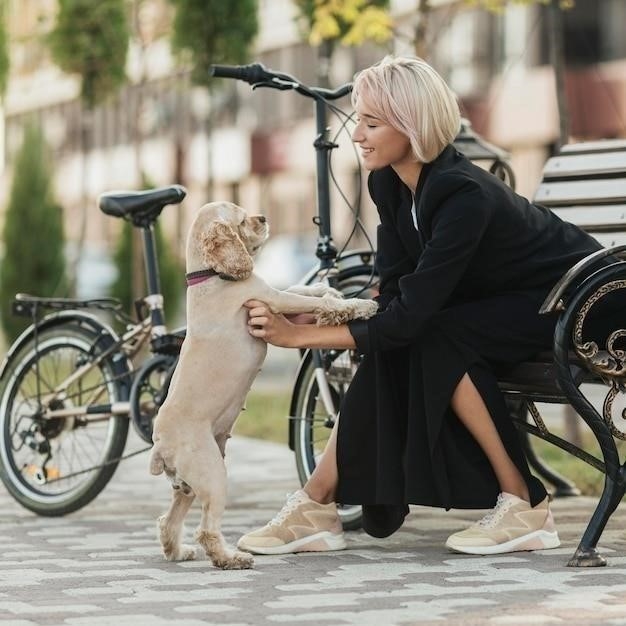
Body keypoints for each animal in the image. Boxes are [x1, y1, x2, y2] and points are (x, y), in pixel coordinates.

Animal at [149, 200, 378, 564]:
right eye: (243, 220)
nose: (264, 218)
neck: (209, 274)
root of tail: (160, 446)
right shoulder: (271, 299)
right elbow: (314, 301)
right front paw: (361, 304)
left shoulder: (270, 293)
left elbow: (304, 289)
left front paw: (327, 285)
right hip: (213, 474)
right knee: (206, 529)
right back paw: (231, 559)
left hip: (187, 484)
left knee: (168, 521)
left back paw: (180, 552)